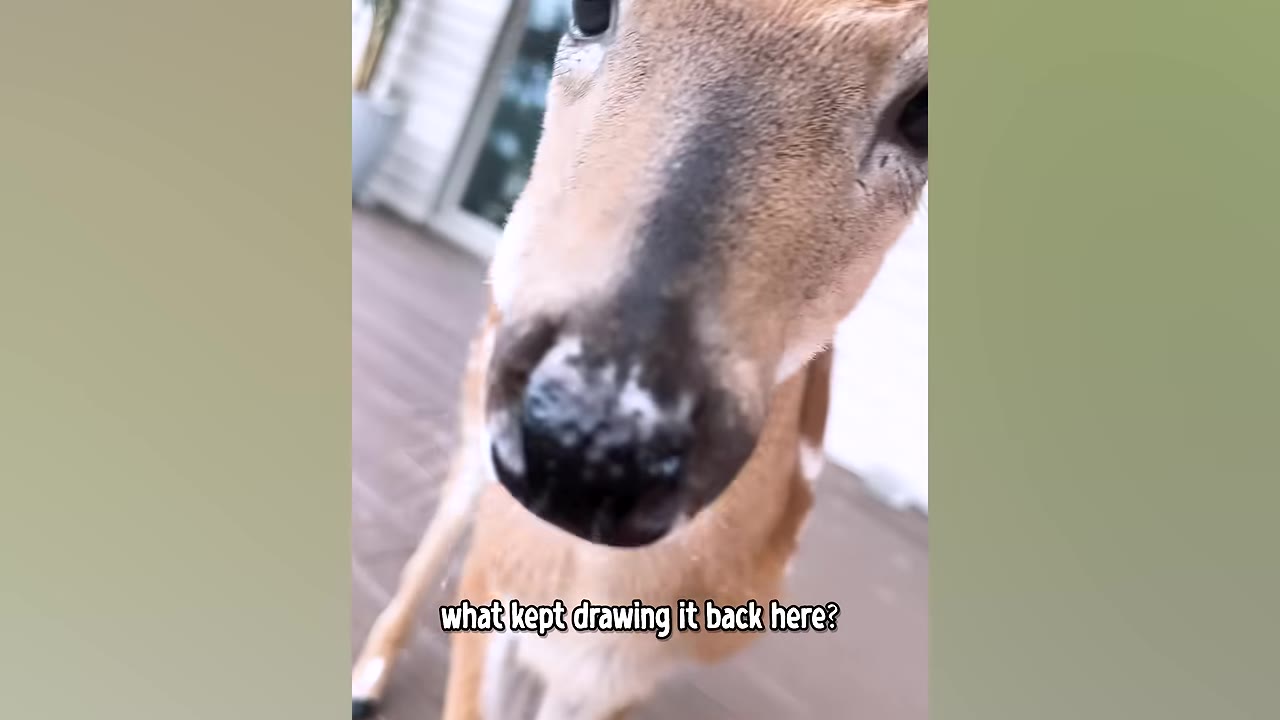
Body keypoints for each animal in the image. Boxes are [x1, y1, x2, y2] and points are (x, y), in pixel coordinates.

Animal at [352, 0, 927, 717]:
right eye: (588, 9)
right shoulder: (493, 575)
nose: (587, 444)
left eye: (924, 111)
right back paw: (367, 678)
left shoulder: (622, 677)